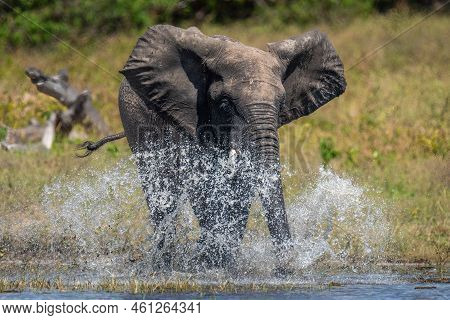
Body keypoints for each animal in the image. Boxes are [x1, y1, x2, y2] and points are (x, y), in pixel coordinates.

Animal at [79, 25, 346, 274]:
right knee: (160, 190)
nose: (287, 268)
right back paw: (162, 265)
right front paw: (209, 264)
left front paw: (221, 264)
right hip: (133, 118)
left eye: (281, 104)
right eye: (225, 105)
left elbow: (240, 188)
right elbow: (202, 185)